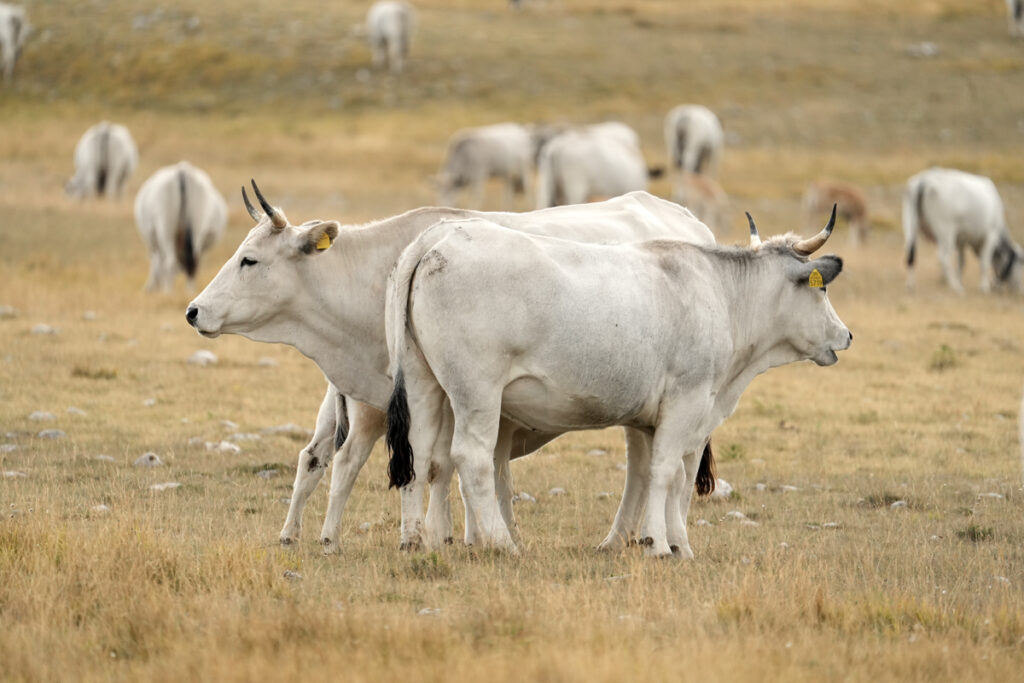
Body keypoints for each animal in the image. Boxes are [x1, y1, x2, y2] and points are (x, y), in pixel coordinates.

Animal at [135, 161, 227, 292]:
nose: (148, 289)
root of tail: (182, 172)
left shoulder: (153, 242)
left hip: (166, 230)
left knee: (170, 262)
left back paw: (168, 291)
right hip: (197, 228)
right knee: (193, 263)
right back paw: (190, 291)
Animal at [186, 185, 712, 548]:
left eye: (249, 260)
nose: (194, 310)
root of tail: (689, 221)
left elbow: (442, 467)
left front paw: (442, 536)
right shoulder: (386, 399)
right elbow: (408, 464)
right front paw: (442, 536)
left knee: (653, 464)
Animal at [385, 208, 847, 557]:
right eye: (821, 291)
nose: (847, 335)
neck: (721, 294)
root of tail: (440, 237)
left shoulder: (658, 418)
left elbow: (660, 477)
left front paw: (669, 542)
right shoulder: (689, 401)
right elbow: (667, 472)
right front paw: (661, 544)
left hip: (426, 384)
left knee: (421, 454)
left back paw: (415, 540)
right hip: (476, 391)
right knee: (472, 458)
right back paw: (502, 543)